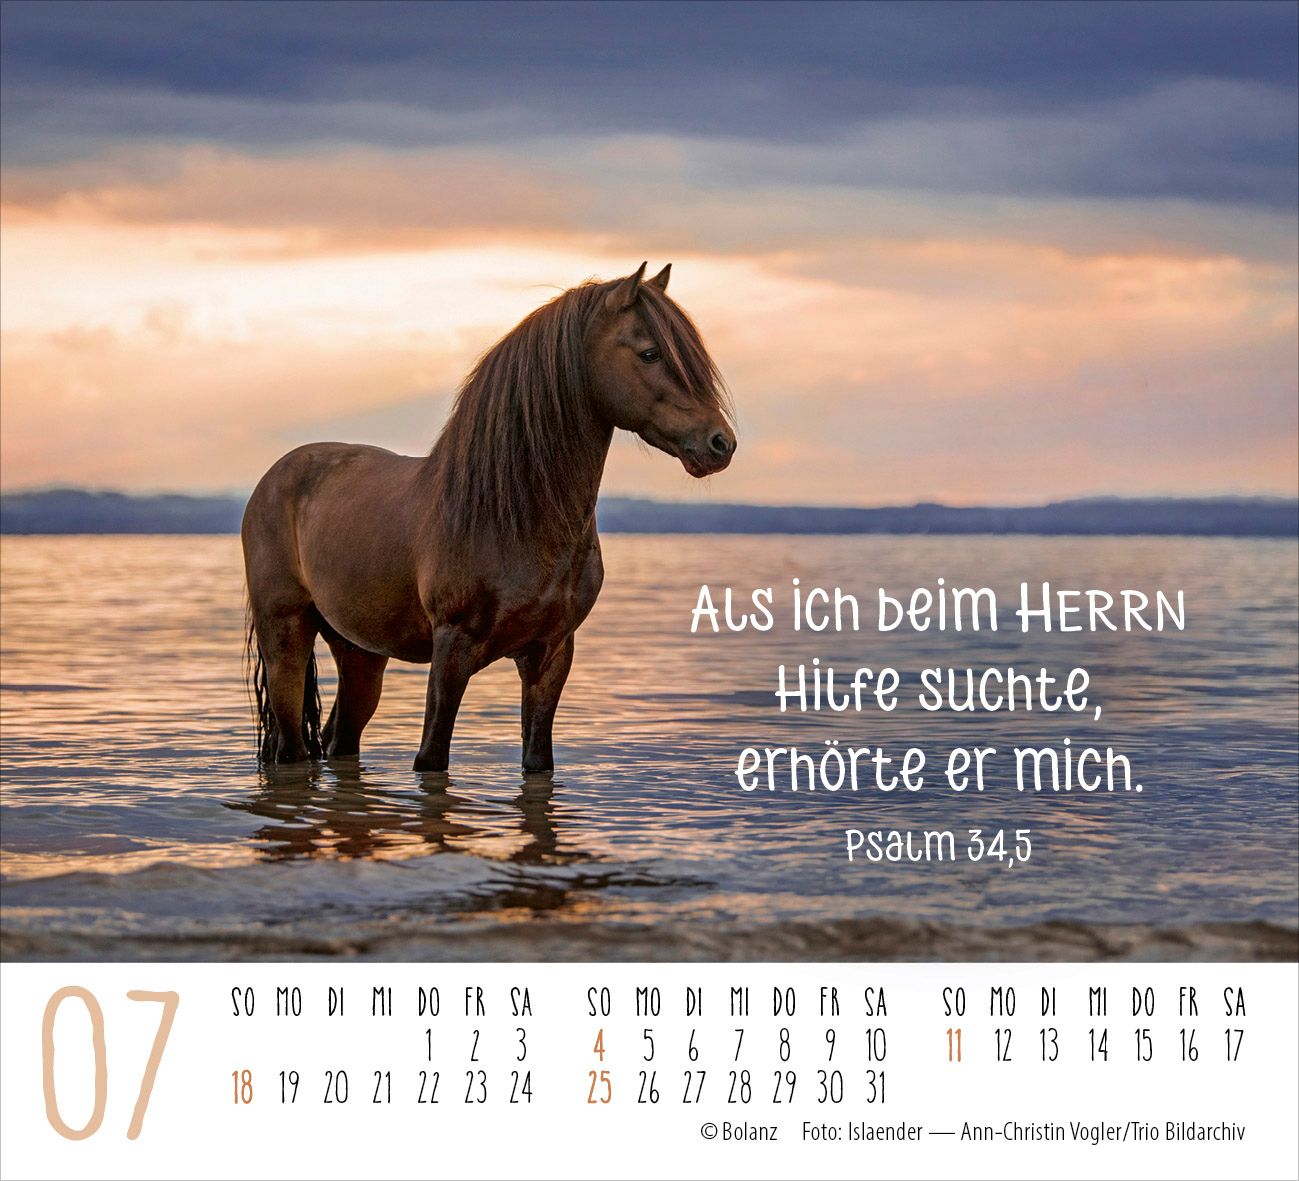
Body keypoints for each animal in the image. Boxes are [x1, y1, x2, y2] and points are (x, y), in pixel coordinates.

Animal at [242, 262, 736, 772]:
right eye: (650, 353)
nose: (720, 444)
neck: (513, 517)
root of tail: (275, 476)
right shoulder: (452, 650)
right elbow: (431, 757)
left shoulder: (550, 655)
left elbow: (537, 758)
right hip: (286, 636)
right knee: (292, 747)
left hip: (360, 651)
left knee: (340, 736)